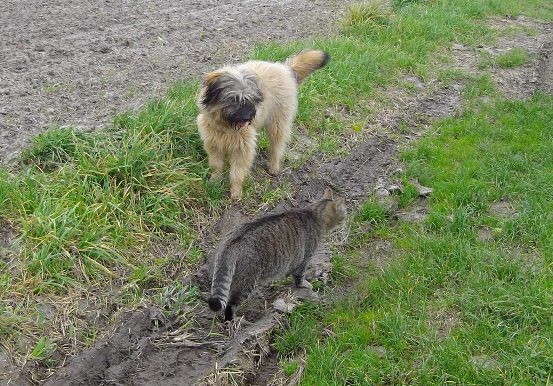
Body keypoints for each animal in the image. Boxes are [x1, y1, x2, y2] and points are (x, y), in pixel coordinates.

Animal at [197, 49, 330, 201]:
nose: (248, 117)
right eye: (234, 99)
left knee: (277, 145)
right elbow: (216, 165)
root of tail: (284, 68)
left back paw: (273, 166)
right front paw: (214, 181)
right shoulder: (213, 143)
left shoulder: (242, 148)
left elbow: (237, 172)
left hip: (278, 123)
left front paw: (236, 192)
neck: (226, 127)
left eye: (251, 99)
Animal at [208, 188, 344, 322]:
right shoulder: (304, 259)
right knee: (231, 305)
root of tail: (233, 240)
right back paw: (233, 321)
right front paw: (305, 284)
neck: (314, 214)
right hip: (246, 280)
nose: (346, 220)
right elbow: (300, 277)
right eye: (344, 214)